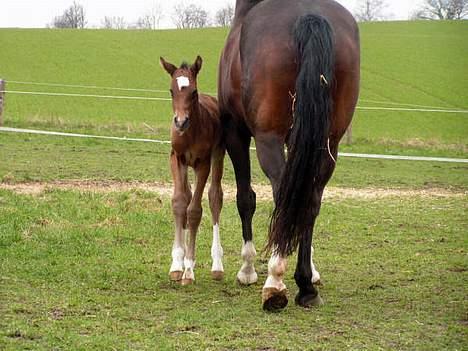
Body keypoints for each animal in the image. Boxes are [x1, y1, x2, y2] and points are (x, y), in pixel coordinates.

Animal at [160, 55, 226, 286]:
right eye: (171, 91)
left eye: (193, 92)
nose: (180, 122)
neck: (190, 133)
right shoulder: (176, 158)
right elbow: (180, 204)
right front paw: (176, 265)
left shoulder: (202, 163)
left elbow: (195, 210)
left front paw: (188, 269)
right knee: (187, 196)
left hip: (218, 154)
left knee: (215, 197)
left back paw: (217, 265)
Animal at [218, 0, 360, 314]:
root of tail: (309, 15)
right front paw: (313, 271)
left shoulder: (235, 132)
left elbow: (245, 199)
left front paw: (247, 269)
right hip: (329, 144)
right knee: (310, 199)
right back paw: (305, 286)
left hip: (267, 139)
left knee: (283, 194)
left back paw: (275, 281)